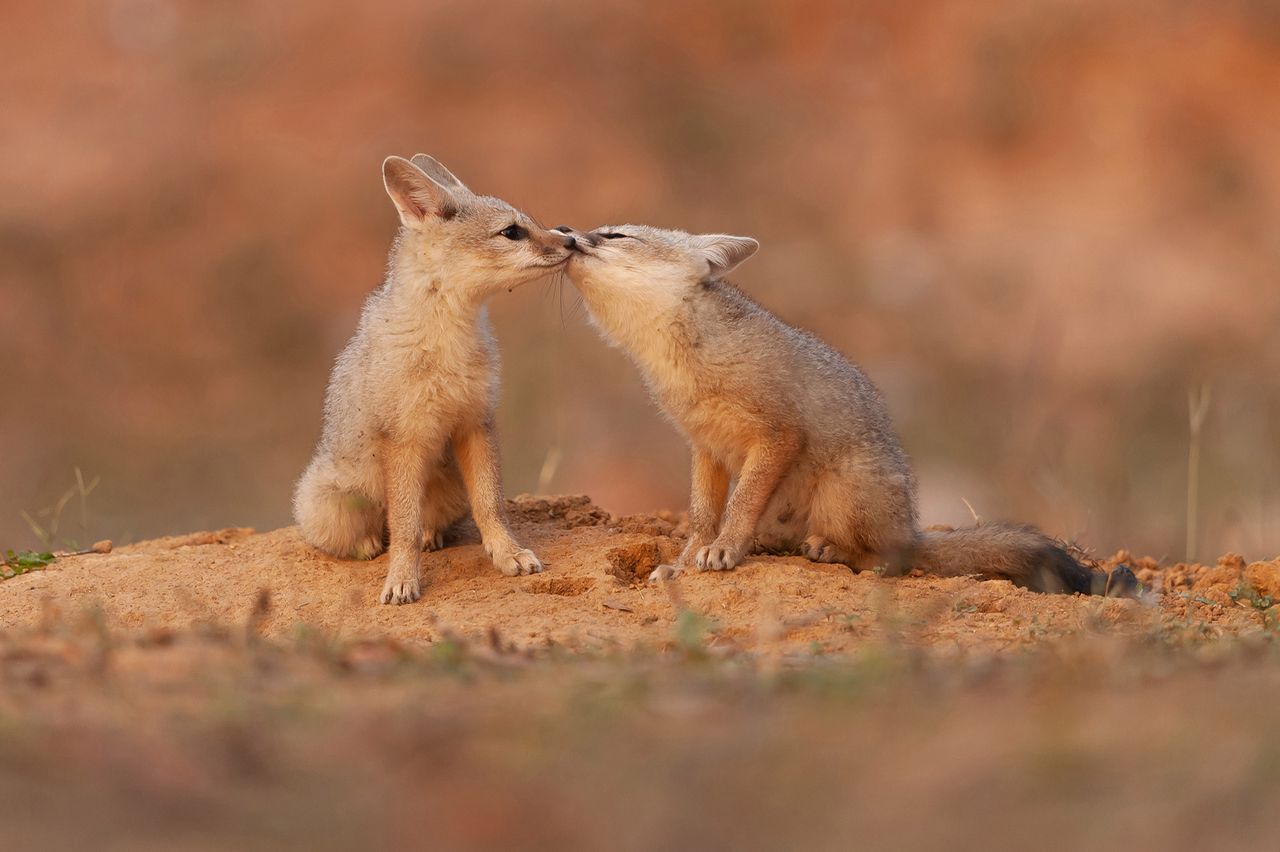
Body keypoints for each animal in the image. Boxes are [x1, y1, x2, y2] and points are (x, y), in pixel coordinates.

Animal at [294, 154, 576, 603]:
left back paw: (431, 535)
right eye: (511, 232)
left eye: (531, 223)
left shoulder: (476, 422)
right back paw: (370, 544)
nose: (571, 239)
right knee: (377, 531)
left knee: (428, 520)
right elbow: (403, 527)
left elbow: (490, 505)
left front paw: (508, 554)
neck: (448, 342)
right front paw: (402, 579)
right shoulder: (404, 439)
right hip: (335, 507)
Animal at [563, 223, 1141, 596]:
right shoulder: (705, 447)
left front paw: (725, 550)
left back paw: (836, 552)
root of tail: (910, 525)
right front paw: (684, 563)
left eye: (615, 235)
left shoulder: (778, 434)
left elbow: (739, 505)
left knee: (891, 560)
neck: (679, 353)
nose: (566, 231)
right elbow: (703, 516)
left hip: (847, 491)